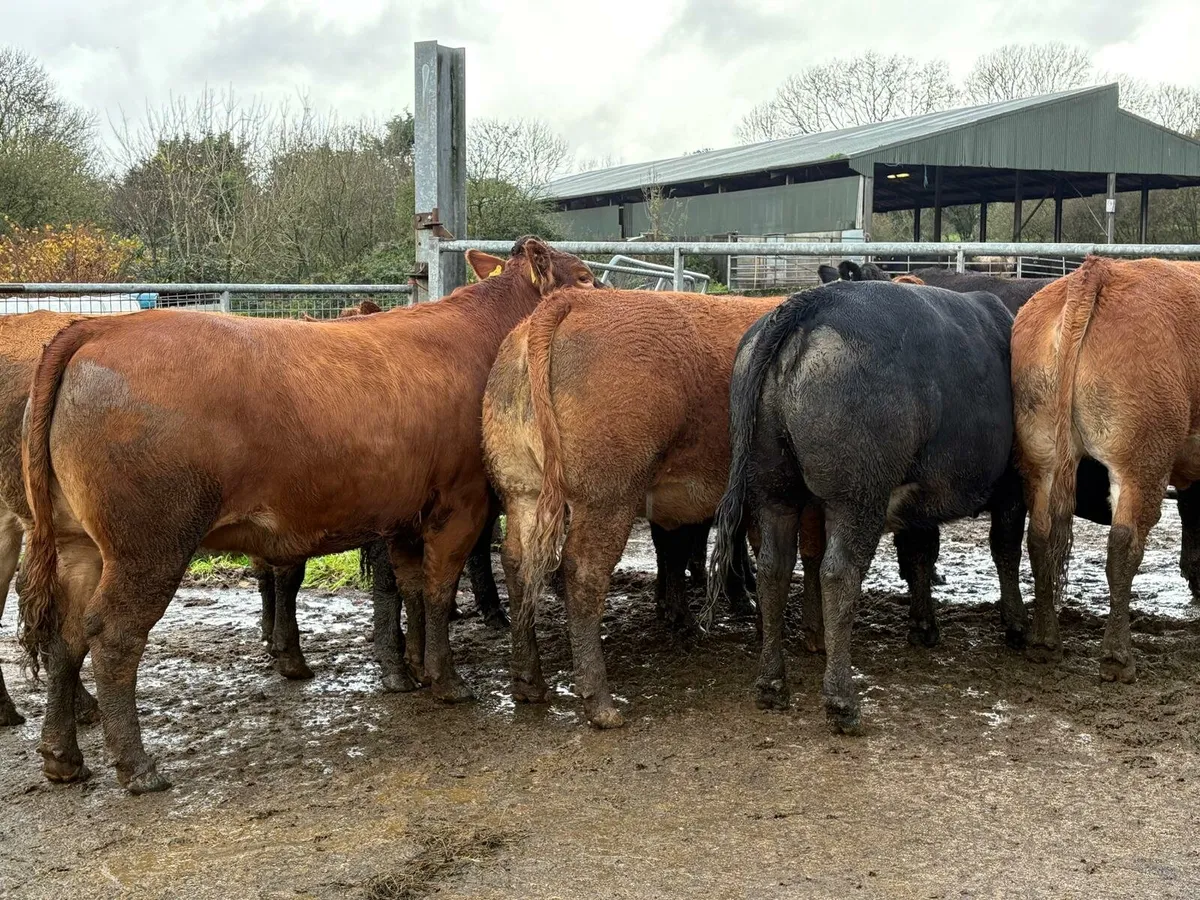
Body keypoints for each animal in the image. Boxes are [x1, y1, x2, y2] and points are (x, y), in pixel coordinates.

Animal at [18, 236, 597, 793]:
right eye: (587, 278)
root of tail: (97, 328)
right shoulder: (462, 503)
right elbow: (437, 590)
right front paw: (447, 680)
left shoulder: (405, 516)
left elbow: (409, 588)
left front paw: (412, 668)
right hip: (150, 544)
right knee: (112, 636)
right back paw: (137, 767)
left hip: (79, 543)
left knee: (67, 632)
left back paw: (62, 757)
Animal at [708, 280, 1024, 734]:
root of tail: (812, 303)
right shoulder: (1015, 485)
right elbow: (1006, 551)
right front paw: (1016, 626)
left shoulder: (918, 501)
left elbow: (919, 557)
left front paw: (923, 625)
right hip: (857, 498)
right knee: (838, 573)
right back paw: (842, 700)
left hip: (773, 491)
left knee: (773, 569)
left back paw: (772, 684)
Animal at [1011, 256, 1200, 682]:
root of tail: (1099, 271)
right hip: (1141, 463)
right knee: (1123, 546)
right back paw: (1117, 656)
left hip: (1041, 456)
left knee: (1040, 538)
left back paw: (1044, 641)